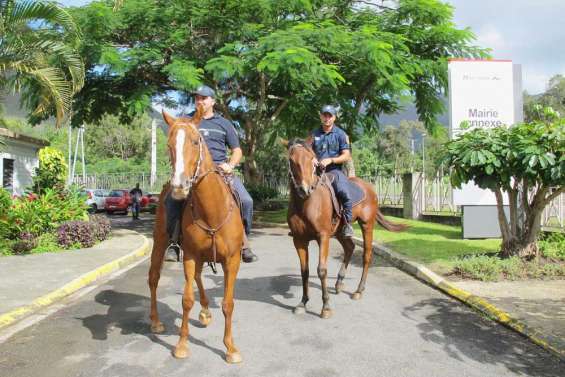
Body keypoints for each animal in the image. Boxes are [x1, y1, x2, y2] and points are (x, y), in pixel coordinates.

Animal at [147, 108, 243, 362]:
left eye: (195, 141)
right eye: (169, 144)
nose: (179, 186)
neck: (212, 211)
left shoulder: (232, 260)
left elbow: (228, 303)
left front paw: (230, 348)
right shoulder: (189, 255)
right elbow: (186, 299)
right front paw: (181, 345)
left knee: (199, 277)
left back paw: (206, 311)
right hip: (160, 241)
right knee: (153, 278)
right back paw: (156, 322)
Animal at [284, 138, 404, 318]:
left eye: (312, 160)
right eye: (292, 161)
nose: (305, 189)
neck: (305, 204)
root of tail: (370, 188)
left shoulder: (323, 237)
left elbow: (321, 270)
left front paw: (326, 307)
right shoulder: (299, 240)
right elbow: (304, 271)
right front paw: (303, 303)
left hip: (367, 225)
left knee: (366, 256)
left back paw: (359, 291)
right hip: (340, 231)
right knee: (350, 247)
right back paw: (339, 283)